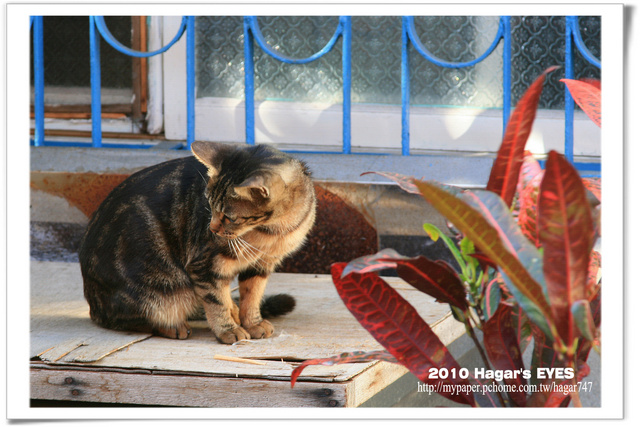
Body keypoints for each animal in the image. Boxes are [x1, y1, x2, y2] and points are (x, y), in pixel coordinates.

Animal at [79, 141, 316, 344]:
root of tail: (91, 300)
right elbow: (216, 301)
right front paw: (228, 330)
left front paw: (251, 322)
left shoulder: (261, 264)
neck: (274, 231)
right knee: (125, 318)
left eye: (229, 217)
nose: (212, 229)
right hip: (156, 293)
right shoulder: (205, 265)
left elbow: (251, 295)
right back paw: (173, 326)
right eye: (209, 205)